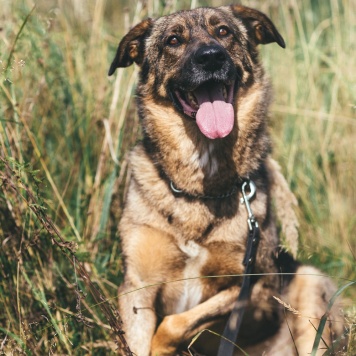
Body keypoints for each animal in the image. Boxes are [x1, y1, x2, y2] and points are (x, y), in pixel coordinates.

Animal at [108, 3, 344, 356]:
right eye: (173, 39)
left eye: (223, 32)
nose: (211, 58)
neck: (198, 191)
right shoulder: (137, 287)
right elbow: (147, 336)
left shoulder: (250, 285)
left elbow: (175, 324)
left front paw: (161, 348)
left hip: (311, 283)